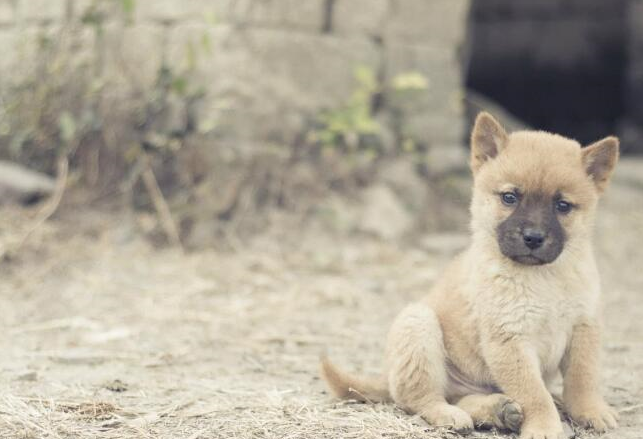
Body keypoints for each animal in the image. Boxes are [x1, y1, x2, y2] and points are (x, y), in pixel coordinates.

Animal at [324, 113, 620, 439]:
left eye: (562, 205)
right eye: (509, 197)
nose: (533, 237)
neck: (545, 279)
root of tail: (385, 376)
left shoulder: (584, 328)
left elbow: (583, 379)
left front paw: (590, 411)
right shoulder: (509, 339)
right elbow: (534, 394)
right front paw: (544, 425)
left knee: (465, 398)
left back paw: (501, 411)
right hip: (418, 324)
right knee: (421, 399)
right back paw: (453, 414)